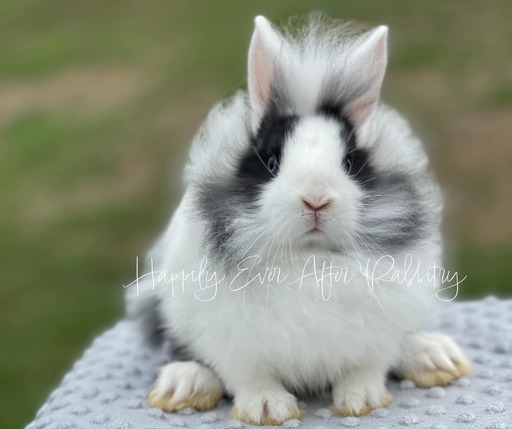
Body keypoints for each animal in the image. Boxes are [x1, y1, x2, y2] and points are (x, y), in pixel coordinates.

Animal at [127, 11, 472, 422]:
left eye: (350, 163)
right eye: (271, 162)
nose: (316, 200)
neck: (310, 257)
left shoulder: (377, 332)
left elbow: (366, 366)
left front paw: (363, 400)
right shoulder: (232, 339)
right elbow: (249, 375)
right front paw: (267, 408)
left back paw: (434, 356)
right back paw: (184, 384)